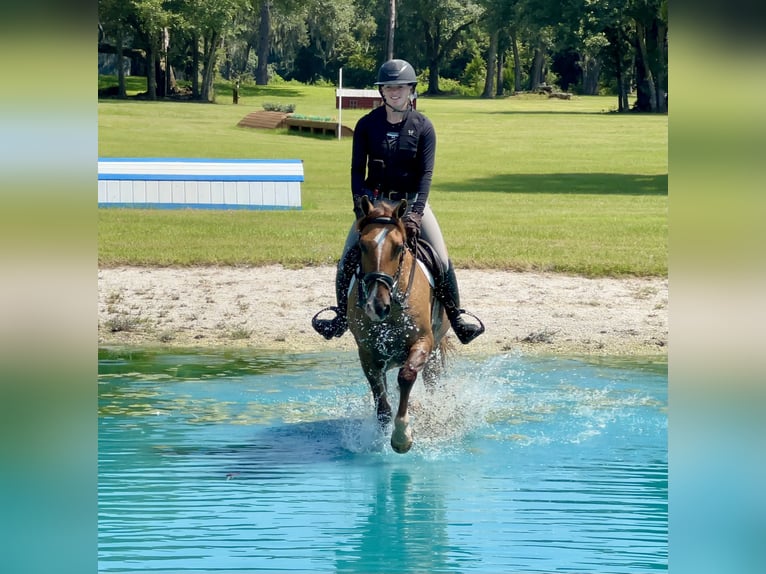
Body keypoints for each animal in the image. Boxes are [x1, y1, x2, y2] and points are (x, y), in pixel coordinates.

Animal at [346, 198, 450, 454]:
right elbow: (382, 404)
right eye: (362, 246)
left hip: (434, 349)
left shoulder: (423, 341)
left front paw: (402, 436)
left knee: (431, 380)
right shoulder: (368, 354)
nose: (376, 305)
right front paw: (380, 439)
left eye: (399, 247)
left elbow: (406, 376)